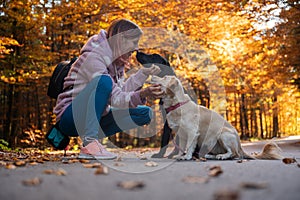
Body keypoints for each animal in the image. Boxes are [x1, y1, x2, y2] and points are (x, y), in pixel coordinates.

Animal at [151, 75, 282, 161]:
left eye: (164, 77)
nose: (152, 76)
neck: (177, 104)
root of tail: (240, 146)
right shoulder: (182, 134)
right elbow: (182, 147)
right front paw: (180, 155)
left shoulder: (192, 132)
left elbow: (188, 146)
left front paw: (186, 157)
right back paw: (209, 156)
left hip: (223, 134)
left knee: (234, 154)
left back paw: (222, 156)